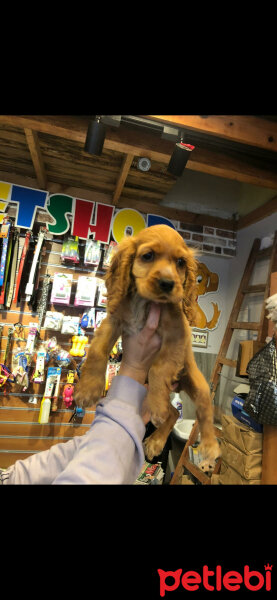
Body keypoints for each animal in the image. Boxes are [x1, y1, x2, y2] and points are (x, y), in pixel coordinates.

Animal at [74, 225, 219, 464]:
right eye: (148, 256)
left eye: (181, 262)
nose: (168, 283)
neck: (146, 303)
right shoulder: (114, 321)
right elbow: (97, 350)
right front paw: (87, 389)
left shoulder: (177, 336)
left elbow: (159, 367)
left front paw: (157, 408)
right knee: (173, 412)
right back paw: (156, 441)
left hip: (198, 384)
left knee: (204, 412)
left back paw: (209, 446)